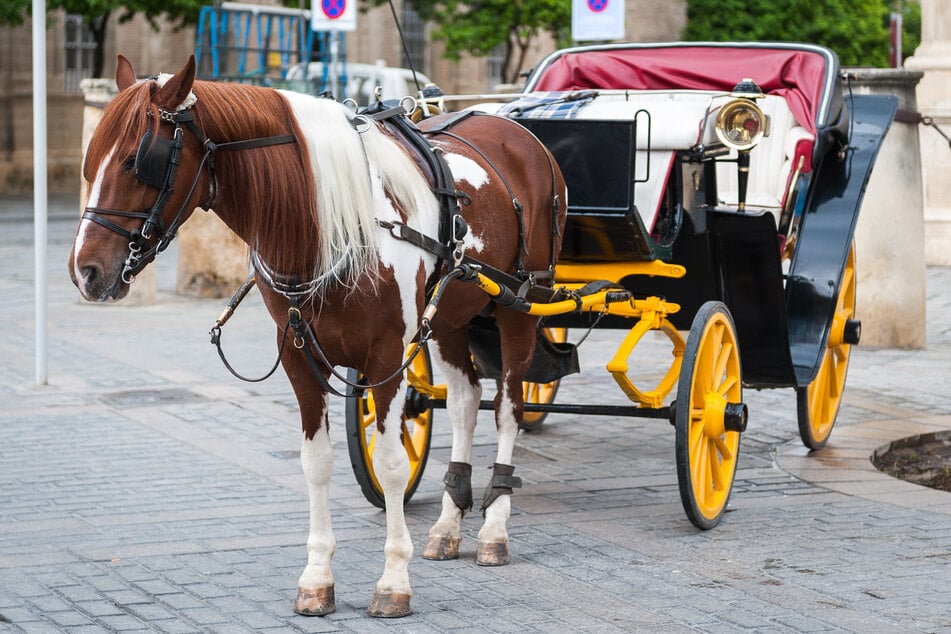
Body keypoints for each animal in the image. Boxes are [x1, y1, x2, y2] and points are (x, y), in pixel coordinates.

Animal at [69, 55, 567, 618]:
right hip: (451, 317)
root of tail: (514, 131)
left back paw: (494, 529)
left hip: (520, 305)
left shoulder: (388, 355)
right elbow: (316, 462)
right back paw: (447, 525)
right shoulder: (298, 355)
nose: (85, 271)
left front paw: (394, 580)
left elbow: (391, 464)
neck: (330, 227)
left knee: (508, 405)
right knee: (464, 400)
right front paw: (317, 577)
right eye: (91, 161)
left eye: (139, 162)